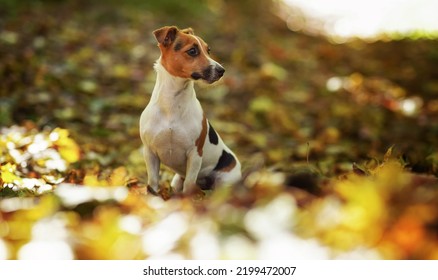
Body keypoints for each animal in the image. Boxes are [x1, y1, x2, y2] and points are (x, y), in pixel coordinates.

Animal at [140, 25, 241, 195]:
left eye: (208, 50)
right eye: (192, 51)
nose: (221, 70)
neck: (172, 104)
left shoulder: (195, 154)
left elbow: (189, 184)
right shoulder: (150, 153)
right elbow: (152, 183)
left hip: (225, 182)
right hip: (176, 180)